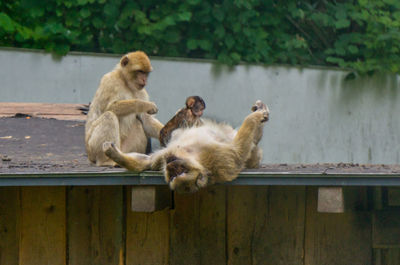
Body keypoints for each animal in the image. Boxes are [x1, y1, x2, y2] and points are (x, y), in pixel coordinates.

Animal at [103, 99, 270, 192]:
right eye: (172, 174)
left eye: (180, 171)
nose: (170, 164)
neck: (193, 155)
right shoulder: (164, 158)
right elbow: (148, 162)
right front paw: (113, 154)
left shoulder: (217, 157)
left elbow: (238, 151)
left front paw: (255, 116)